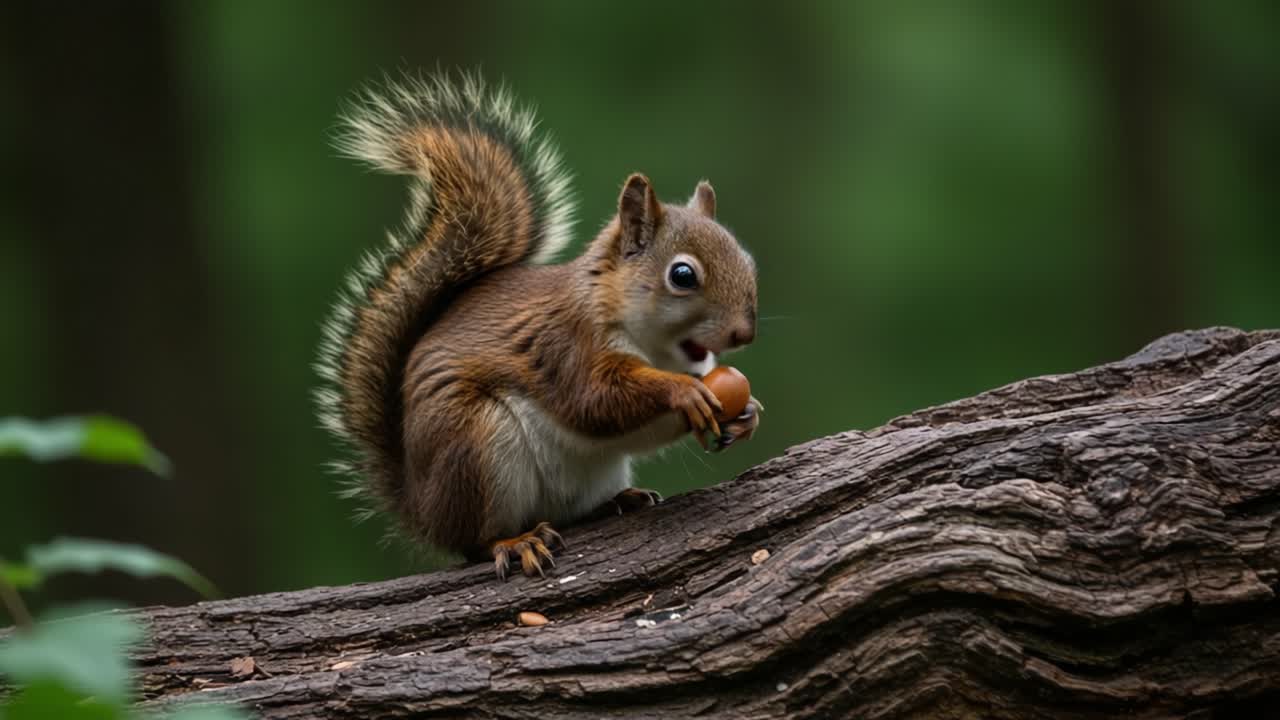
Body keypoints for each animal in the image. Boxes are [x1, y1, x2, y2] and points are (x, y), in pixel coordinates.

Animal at [315, 72, 761, 579]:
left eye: (747, 260)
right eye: (682, 275)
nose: (744, 334)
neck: (655, 349)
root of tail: (422, 508)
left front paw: (747, 413)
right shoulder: (565, 344)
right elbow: (596, 400)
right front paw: (682, 392)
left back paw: (618, 502)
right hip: (475, 446)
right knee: (473, 541)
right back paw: (514, 541)